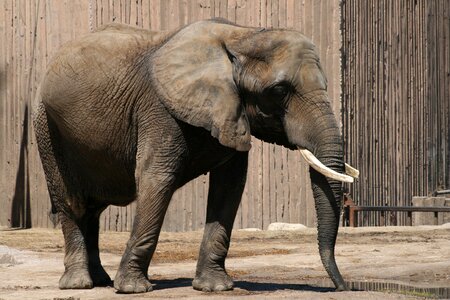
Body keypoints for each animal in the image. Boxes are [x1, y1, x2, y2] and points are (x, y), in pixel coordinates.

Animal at [33, 19, 358, 292]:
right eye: (279, 91)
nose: (343, 287)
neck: (241, 35)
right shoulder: (158, 112)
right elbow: (157, 180)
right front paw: (133, 289)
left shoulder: (231, 114)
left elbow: (229, 187)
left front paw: (215, 288)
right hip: (47, 129)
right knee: (72, 204)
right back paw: (79, 284)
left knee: (92, 210)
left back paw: (101, 280)